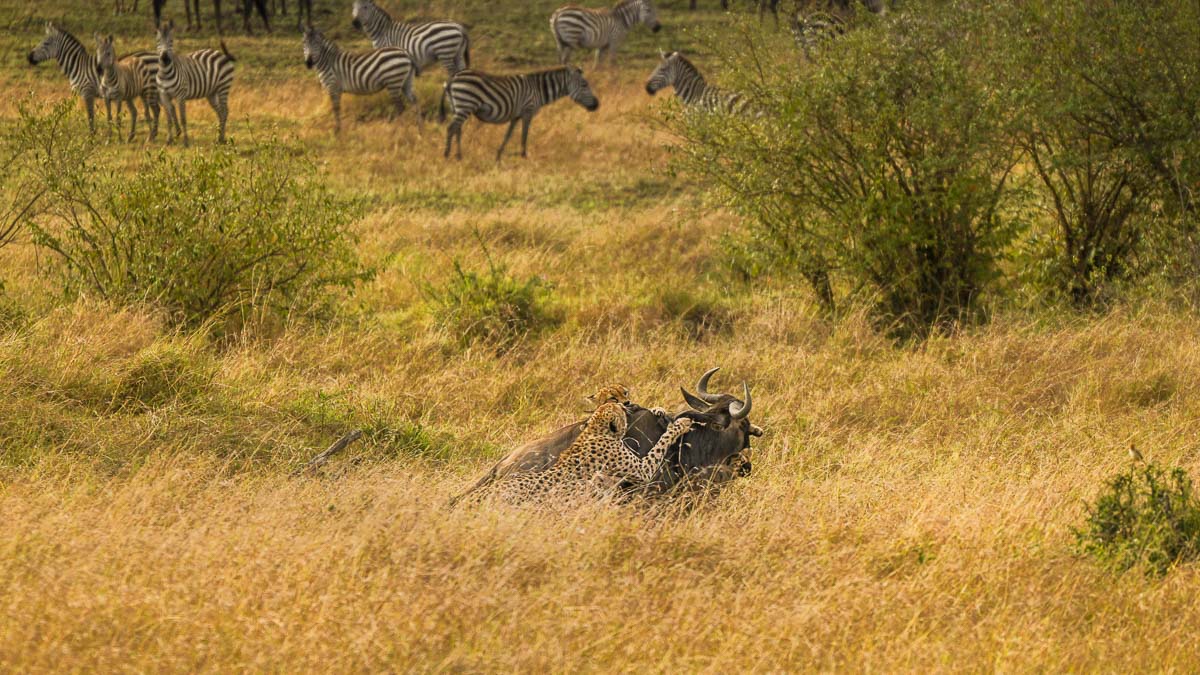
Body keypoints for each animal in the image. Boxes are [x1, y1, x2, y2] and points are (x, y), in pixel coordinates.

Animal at [439, 65, 600, 162]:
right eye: (584, 84)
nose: (597, 105)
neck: (538, 90)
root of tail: (453, 77)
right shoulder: (527, 111)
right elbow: (524, 134)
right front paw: (523, 156)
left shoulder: (515, 116)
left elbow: (508, 134)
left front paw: (498, 155)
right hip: (465, 104)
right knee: (451, 128)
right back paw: (446, 155)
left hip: (457, 107)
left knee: (457, 129)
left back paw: (459, 156)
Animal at [458, 398, 696, 504]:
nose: (629, 404)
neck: (595, 430)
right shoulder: (642, 469)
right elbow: (659, 447)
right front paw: (680, 424)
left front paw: (660, 410)